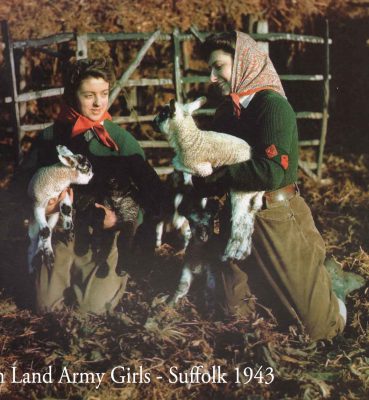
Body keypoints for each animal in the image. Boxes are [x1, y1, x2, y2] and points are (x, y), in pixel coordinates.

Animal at [27, 145, 93, 274]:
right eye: (85, 167)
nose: (92, 174)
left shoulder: (64, 194)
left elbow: (67, 209)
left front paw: (69, 233)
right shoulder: (38, 205)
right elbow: (45, 231)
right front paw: (49, 257)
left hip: (54, 216)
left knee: (47, 231)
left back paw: (41, 254)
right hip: (33, 223)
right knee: (35, 239)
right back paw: (32, 263)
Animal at [154, 95, 264, 260]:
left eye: (163, 114)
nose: (153, 122)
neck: (191, 139)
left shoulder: (202, 168)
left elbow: (180, 165)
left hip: (241, 190)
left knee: (241, 223)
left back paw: (230, 253)